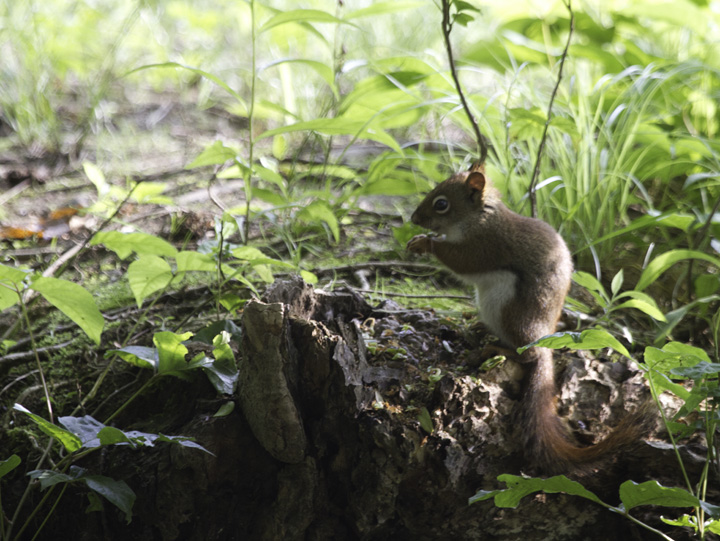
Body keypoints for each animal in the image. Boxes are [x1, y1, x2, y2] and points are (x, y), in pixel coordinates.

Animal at [408, 161, 648, 472]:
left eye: (441, 204)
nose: (413, 218)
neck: (480, 218)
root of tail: (544, 337)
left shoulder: (486, 245)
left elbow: (461, 261)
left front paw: (425, 243)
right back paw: (482, 331)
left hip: (511, 311)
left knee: (527, 355)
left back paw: (497, 349)